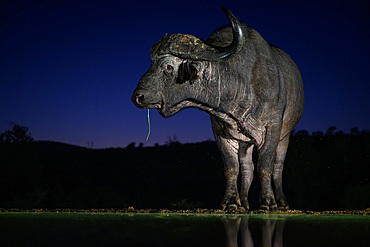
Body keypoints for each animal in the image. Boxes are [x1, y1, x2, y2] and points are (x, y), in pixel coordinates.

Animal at [132, 7, 304, 212]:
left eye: (168, 66)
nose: (137, 97)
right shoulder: (220, 131)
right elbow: (231, 167)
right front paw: (231, 202)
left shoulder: (273, 127)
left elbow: (266, 166)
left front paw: (268, 203)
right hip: (245, 142)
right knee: (247, 168)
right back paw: (244, 203)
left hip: (285, 135)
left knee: (277, 167)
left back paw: (282, 203)